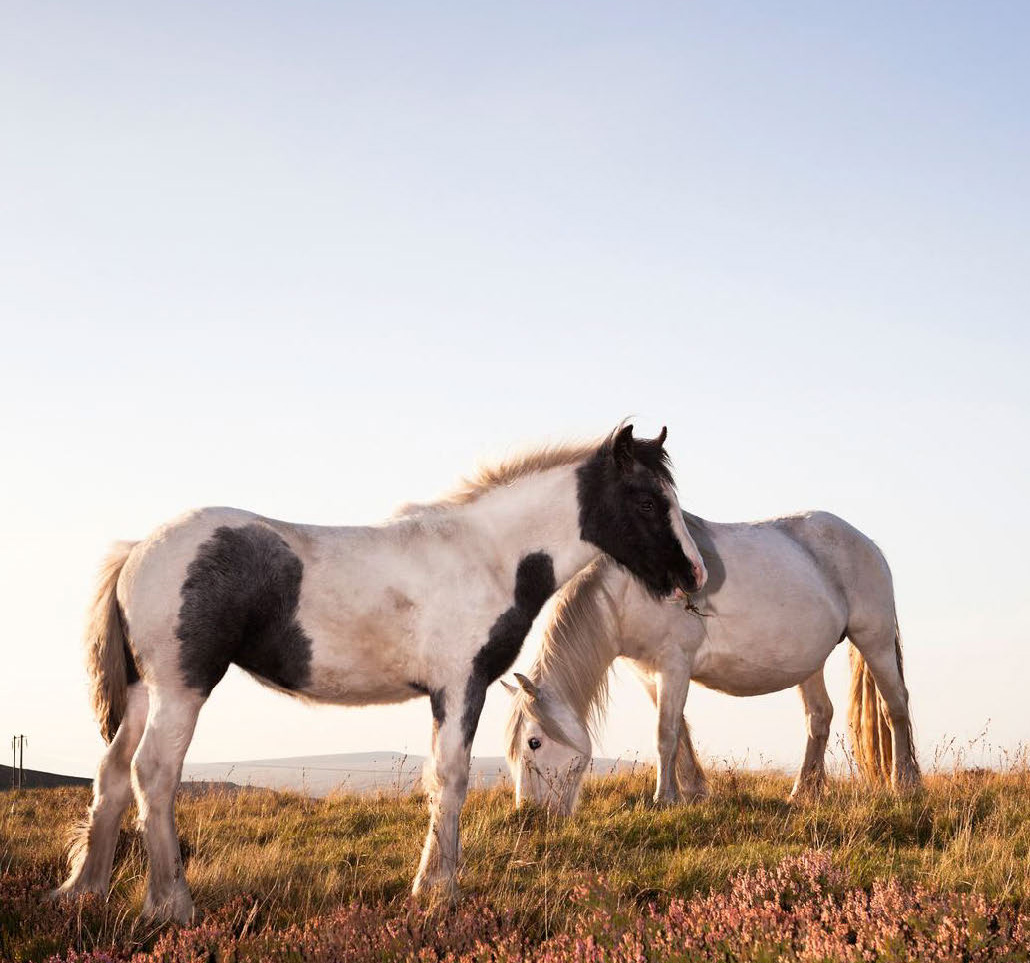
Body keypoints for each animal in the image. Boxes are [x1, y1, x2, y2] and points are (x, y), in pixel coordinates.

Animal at [53, 424, 708, 923]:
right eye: (647, 501)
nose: (696, 575)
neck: (489, 557)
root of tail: (137, 550)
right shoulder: (459, 687)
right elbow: (449, 780)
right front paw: (439, 891)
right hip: (180, 690)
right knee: (154, 774)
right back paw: (171, 906)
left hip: (144, 692)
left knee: (112, 773)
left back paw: (84, 891)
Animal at [505, 510, 921, 814]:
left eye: (534, 742)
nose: (528, 814)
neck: (627, 590)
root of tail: (866, 543)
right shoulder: (650, 675)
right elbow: (681, 735)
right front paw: (693, 792)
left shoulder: (674, 665)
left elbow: (666, 734)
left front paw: (664, 799)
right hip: (810, 662)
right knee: (819, 717)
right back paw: (804, 791)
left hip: (875, 641)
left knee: (895, 706)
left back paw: (904, 782)